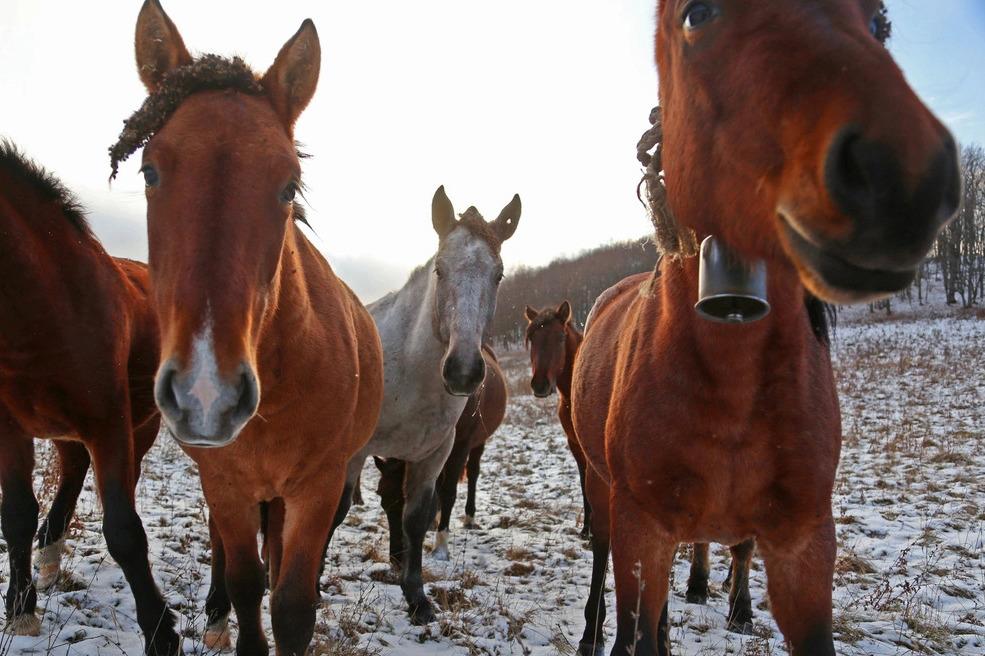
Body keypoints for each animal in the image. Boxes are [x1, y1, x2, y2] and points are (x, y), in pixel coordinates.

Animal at [0, 142, 173, 652]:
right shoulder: (10, 427)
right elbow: (16, 514)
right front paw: (21, 609)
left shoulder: (109, 423)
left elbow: (125, 531)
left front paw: (162, 632)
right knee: (73, 468)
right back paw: (50, 553)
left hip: (138, 426)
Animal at [119, 2, 384, 652]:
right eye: (149, 171)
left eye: (289, 185)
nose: (206, 394)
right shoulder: (225, 484)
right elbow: (245, 584)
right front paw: (230, 617)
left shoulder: (317, 488)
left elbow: (290, 604)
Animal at [430, 344, 508, 560]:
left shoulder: (462, 445)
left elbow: (449, 491)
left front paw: (441, 546)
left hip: (478, 443)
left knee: (473, 473)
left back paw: (469, 518)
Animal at [568, 2, 960, 652]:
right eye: (697, 14)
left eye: (879, 23)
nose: (901, 173)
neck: (732, 383)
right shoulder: (640, 529)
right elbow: (636, 624)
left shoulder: (804, 545)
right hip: (605, 498)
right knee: (607, 569)